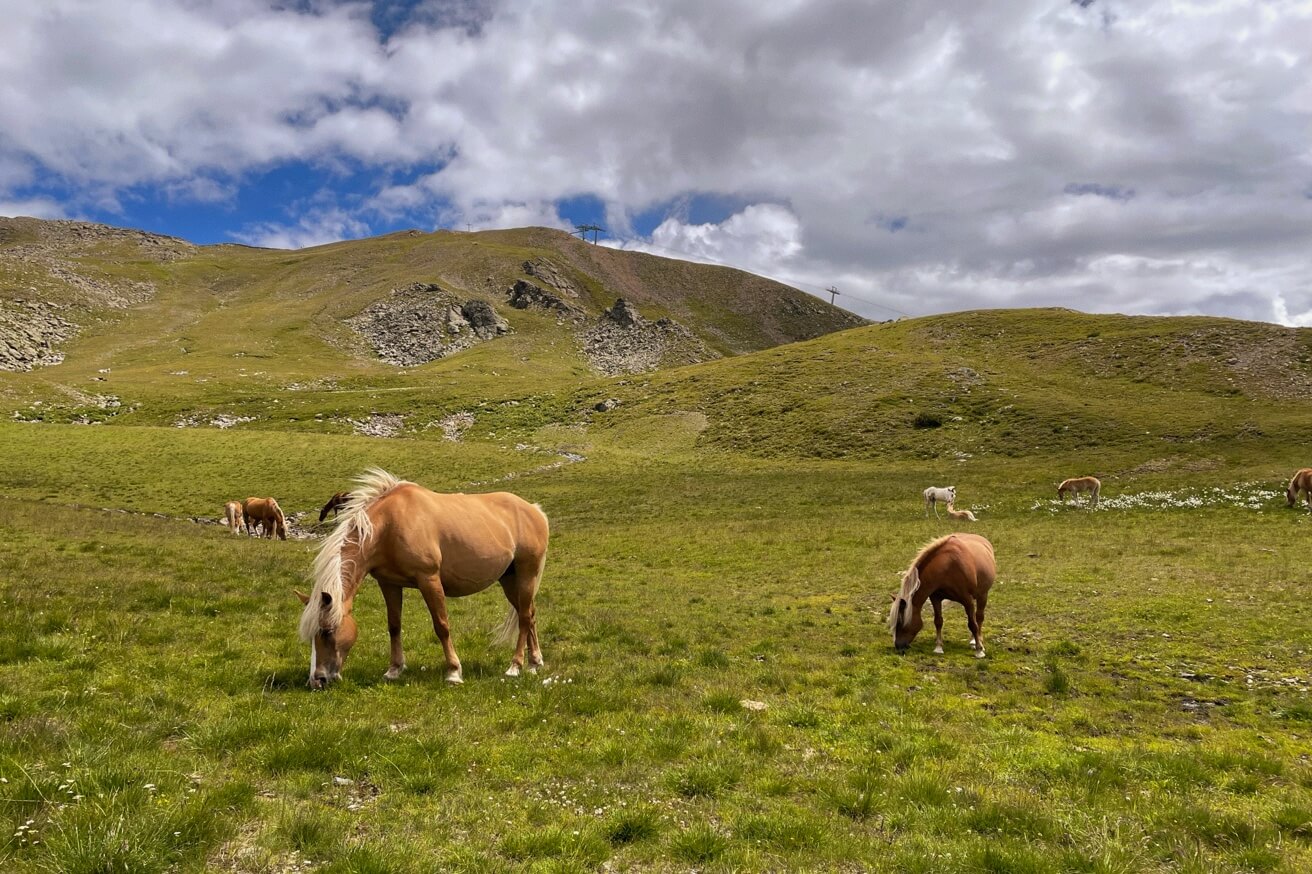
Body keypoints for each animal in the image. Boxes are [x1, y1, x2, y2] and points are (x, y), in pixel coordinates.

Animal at [295, 468, 549, 689]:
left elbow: (442, 625)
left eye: (327, 631)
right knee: (530, 615)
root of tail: (535, 510)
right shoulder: (389, 584)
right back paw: (534, 663)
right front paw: (394, 670)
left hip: (527, 574)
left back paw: (515, 666)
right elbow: (394, 625)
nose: (317, 680)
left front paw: (453, 672)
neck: (389, 525)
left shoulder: (429, 580)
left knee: (524, 618)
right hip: (509, 580)